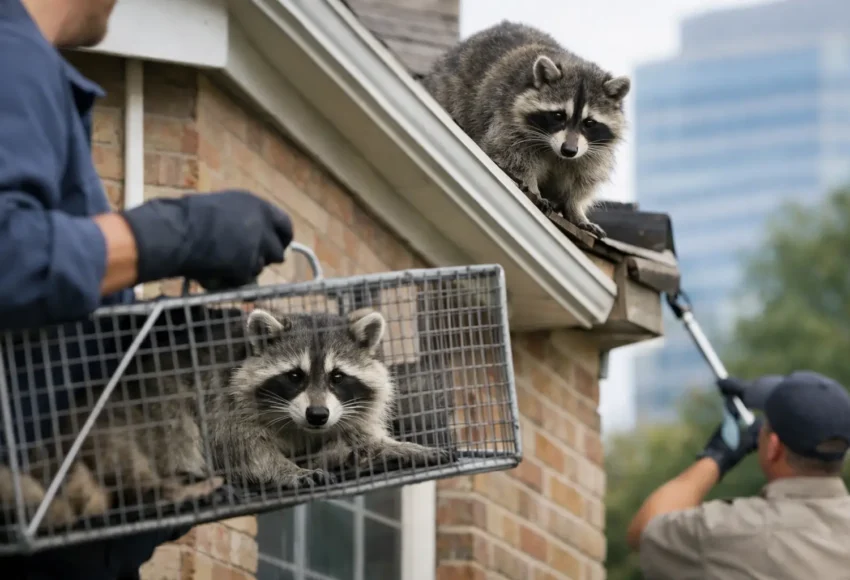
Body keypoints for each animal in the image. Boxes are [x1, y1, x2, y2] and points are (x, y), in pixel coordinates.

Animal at [422, 20, 631, 238]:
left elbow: (582, 180)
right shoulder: (508, 121)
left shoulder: (591, 150)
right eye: (558, 115)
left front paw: (575, 209)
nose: (569, 150)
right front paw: (532, 187)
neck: (555, 152)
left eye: (589, 122)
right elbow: (513, 156)